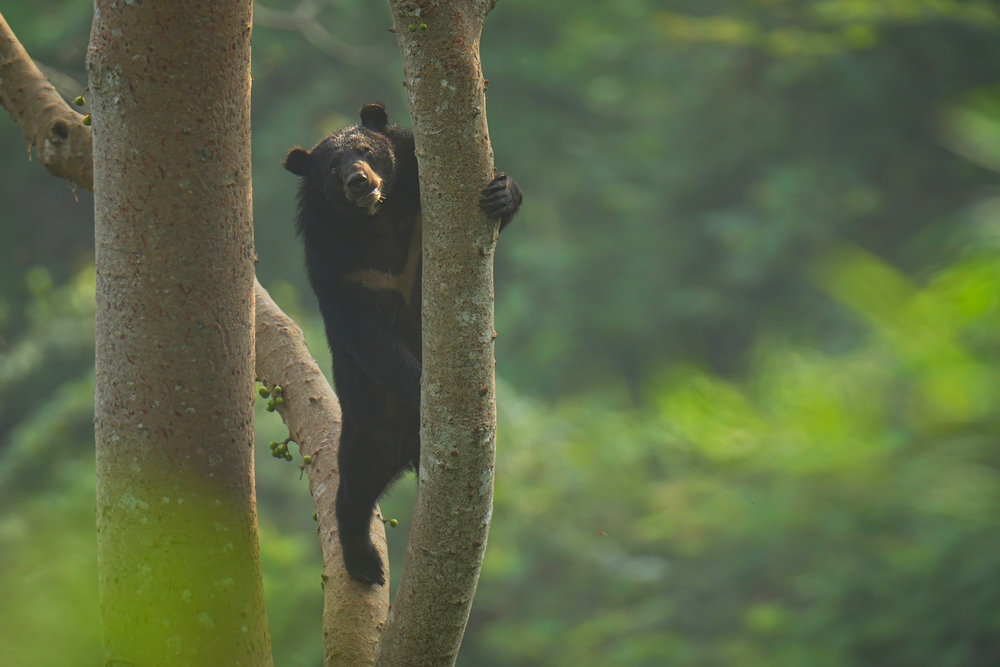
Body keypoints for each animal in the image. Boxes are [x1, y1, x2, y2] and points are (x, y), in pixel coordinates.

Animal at [284, 103, 521, 585]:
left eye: (365, 150)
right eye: (331, 170)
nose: (359, 182)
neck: (375, 218)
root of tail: (407, 451)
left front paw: (502, 194)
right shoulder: (335, 263)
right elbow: (364, 330)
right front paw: (420, 384)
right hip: (368, 422)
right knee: (354, 490)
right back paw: (364, 563)